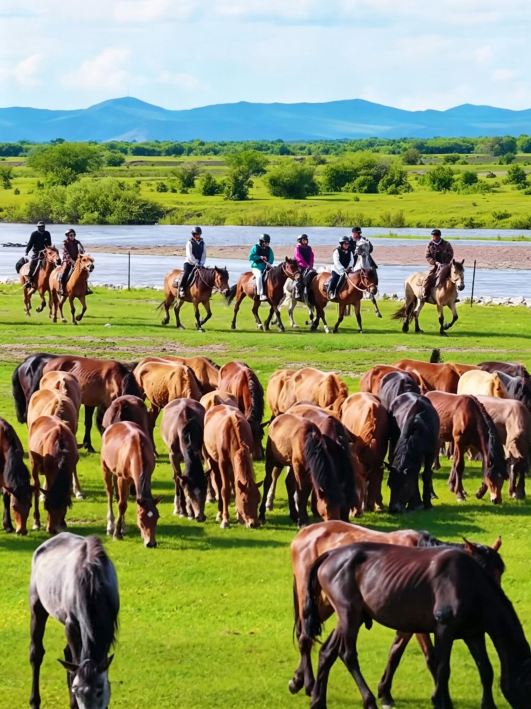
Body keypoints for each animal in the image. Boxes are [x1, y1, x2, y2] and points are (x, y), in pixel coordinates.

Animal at [29, 532, 119, 709]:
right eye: (76, 690)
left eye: (100, 690)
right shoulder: (72, 625)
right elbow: (75, 664)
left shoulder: (108, 628)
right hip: (37, 607)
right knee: (36, 653)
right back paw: (34, 701)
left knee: (67, 654)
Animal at [289, 521, 504, 703]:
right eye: (477, 571)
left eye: (500, 571)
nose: (491, 600)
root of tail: (305, 532)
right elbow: (431, 658)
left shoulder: (408, 621)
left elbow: (395, 652)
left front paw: (385, 692)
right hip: (313, 598)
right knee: (305, 637)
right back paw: (307, 683)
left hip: (329, 605)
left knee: (312, 638)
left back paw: (301, 681)